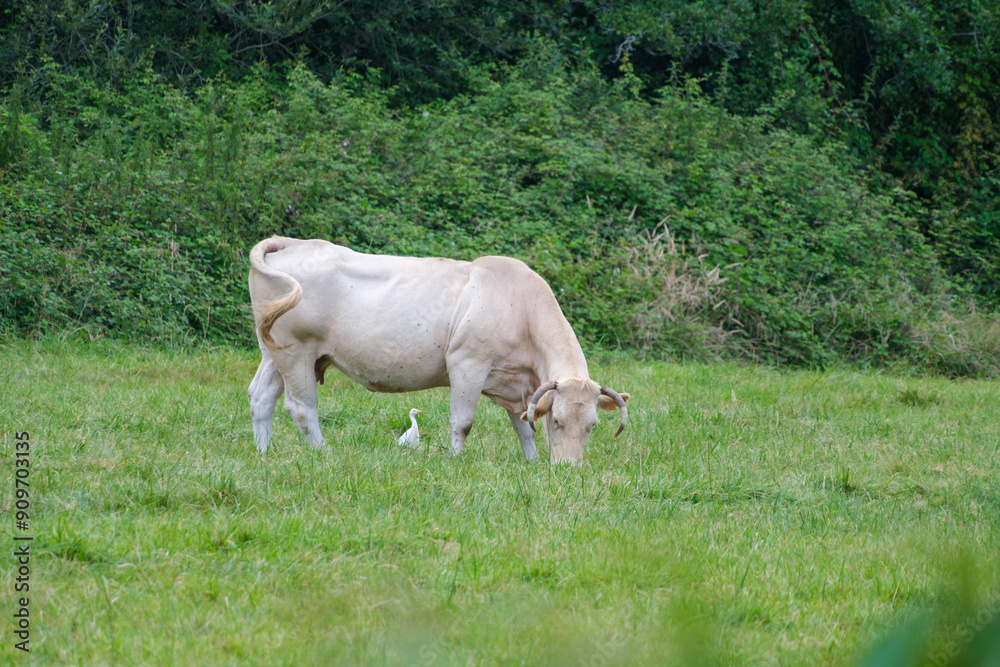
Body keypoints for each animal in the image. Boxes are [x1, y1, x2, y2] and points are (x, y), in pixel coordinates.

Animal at [247, 236, 629, 463]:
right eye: (557, 419)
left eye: (593, 424)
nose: (568, 468)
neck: (518, 305)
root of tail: (292, 243)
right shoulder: (467, 363)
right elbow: (463, 422)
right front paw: (456, 460)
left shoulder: (518, 385)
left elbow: (522, 424)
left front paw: (532, 461)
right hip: (297, 350)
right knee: (301, 407)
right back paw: (324, 451)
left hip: (275, 351)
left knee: (261, 396)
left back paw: (263, 453)